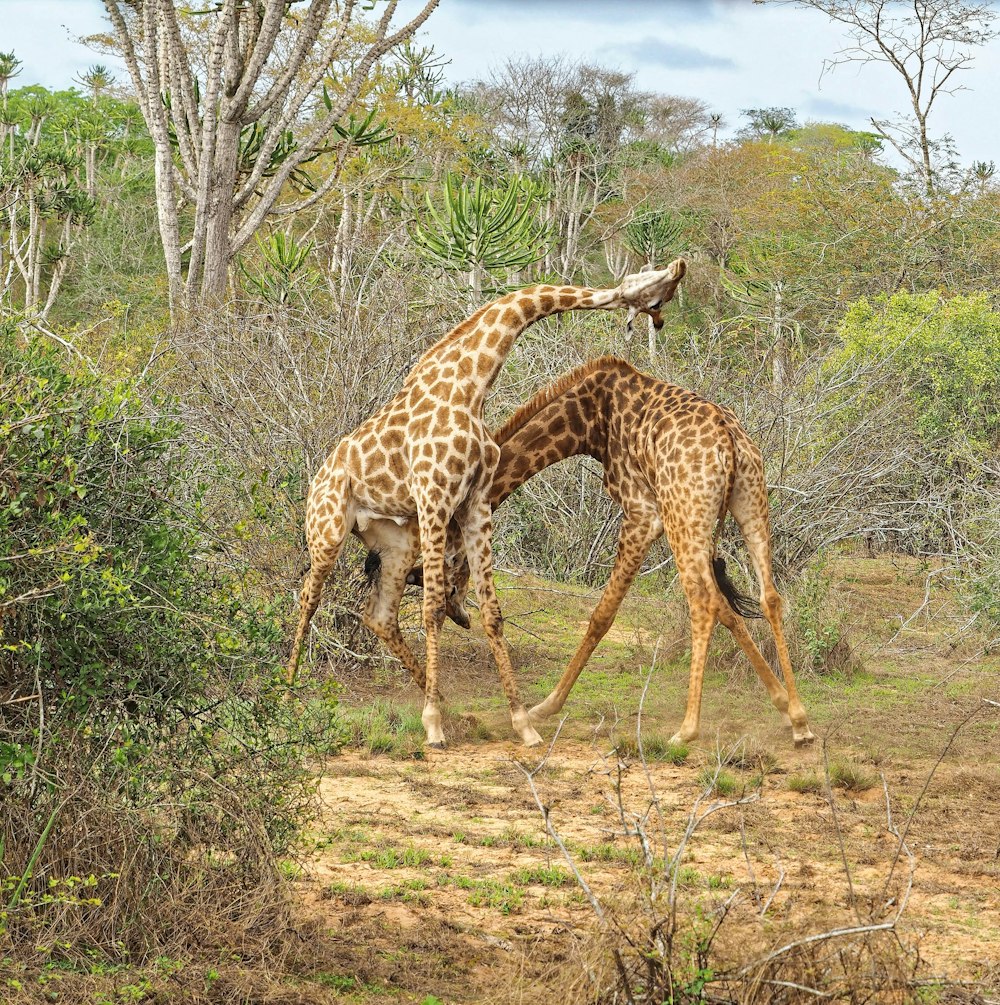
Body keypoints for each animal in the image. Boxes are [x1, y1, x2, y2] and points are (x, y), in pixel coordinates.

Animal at [281, 259, 687, 747]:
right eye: (656, 290)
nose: (679, 269)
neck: (469, 387)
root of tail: (317, 478)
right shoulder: (434, 495)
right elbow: (432, 606)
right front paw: (433, 725)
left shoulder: (474, 503)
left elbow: (492, 612)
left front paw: (522, 723)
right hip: (326, 530)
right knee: (308, 596)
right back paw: (287, 694)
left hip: (394, 543)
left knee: (379, 616)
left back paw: (446, 702)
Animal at [410, 355, 816, 747]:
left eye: (450, 562)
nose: (459, 616)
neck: (588, 420)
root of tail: (729, 442)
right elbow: (727, 611)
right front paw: (784, 706)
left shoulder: (641, 514)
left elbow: (602, 615)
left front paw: (546, 706)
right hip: (750, 501)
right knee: (769, 597)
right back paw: (799, 720)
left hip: (684, 515)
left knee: (703, 602)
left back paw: (687, 729)